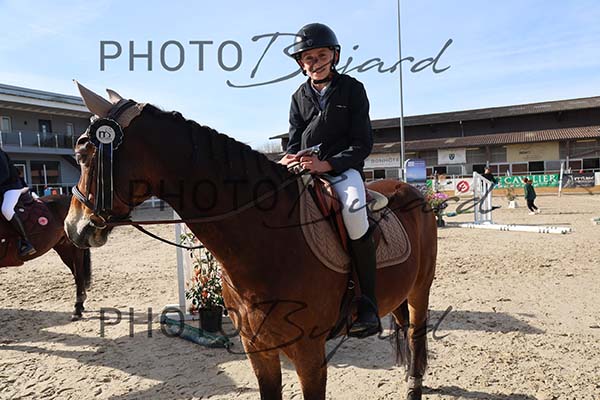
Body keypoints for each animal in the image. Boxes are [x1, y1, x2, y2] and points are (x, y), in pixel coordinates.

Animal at [65, 83, 437, 400]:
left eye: (85, 156)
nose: (73, 228)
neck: (269, 243)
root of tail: (409, 189)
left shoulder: (309, 355)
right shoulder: (258, 349)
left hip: (420, 290)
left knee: (416, 334)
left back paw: (414, 386)